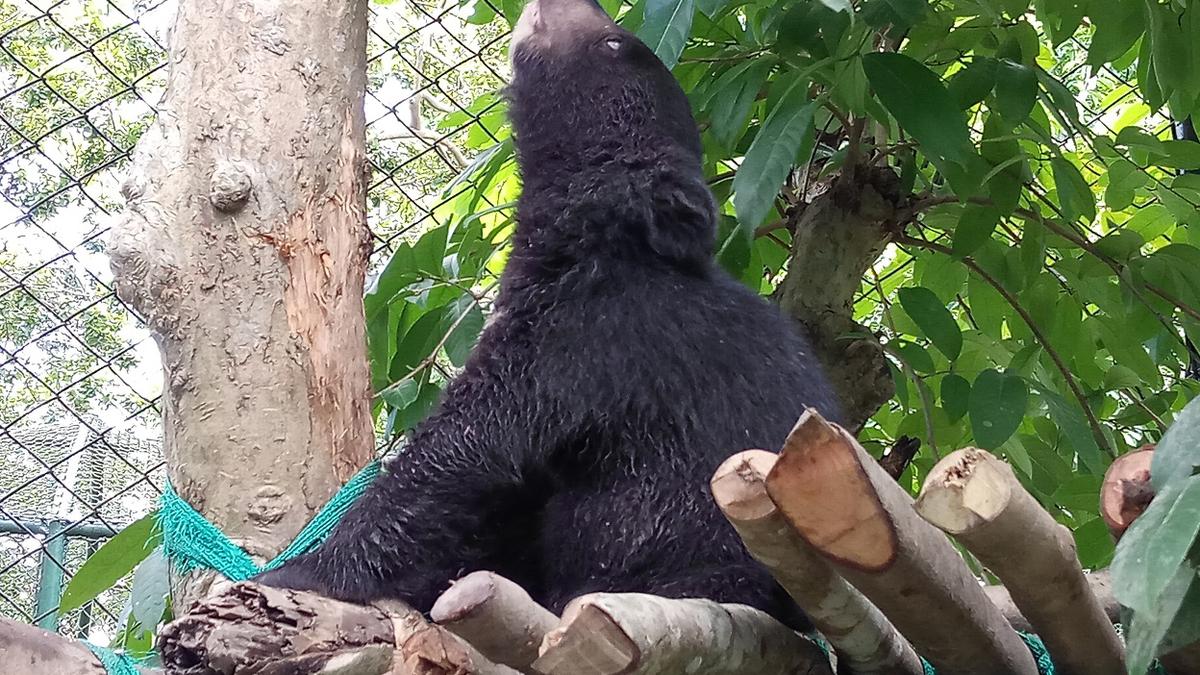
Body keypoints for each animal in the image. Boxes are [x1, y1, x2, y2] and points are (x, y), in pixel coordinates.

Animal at [255, 0, 841, 631]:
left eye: (613, 44)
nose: (575, 2)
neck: (594, 244)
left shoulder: (576, 341)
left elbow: (464, 456)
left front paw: (300, 571)